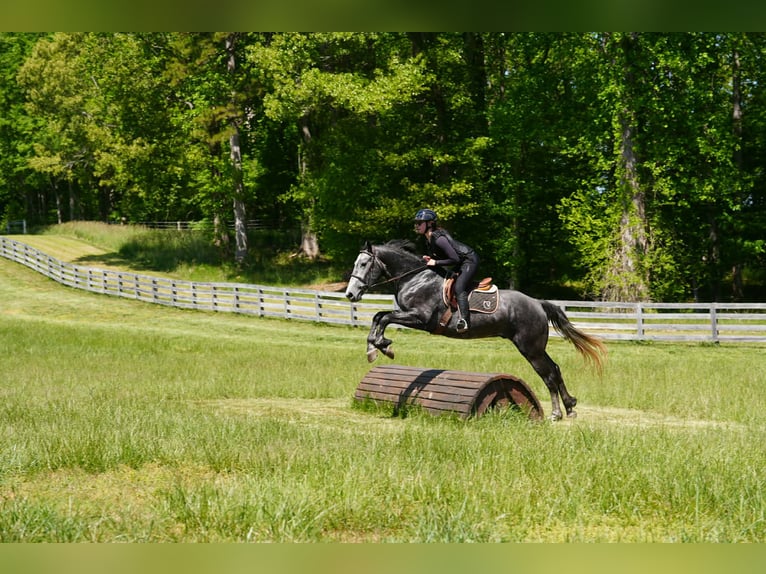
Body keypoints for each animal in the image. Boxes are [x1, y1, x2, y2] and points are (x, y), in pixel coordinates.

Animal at [344, 240, 607, 421]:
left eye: (364, 264)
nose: (350, 294)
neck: (415, 278)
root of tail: (538, 303)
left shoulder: (420, 318)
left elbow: (384, 317)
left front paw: (382, 346)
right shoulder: (410, 316)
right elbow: (379, 316)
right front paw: (373, 347)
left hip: (530, 348)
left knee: (548, 374)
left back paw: (556, 413)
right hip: (535, 347)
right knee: (555, 369)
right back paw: (570, 407)